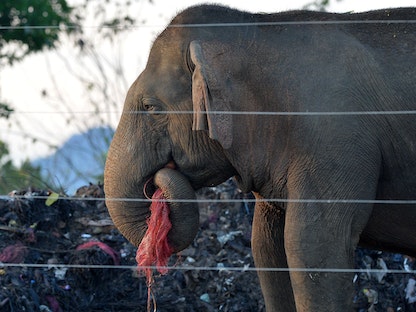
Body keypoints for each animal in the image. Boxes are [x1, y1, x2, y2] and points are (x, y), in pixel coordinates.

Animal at [103, 5, 416, 312]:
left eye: (150, 107)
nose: (157, 180)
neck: (257, 26)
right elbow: (266, 246)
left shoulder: (334, 142)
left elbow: (312, 246)